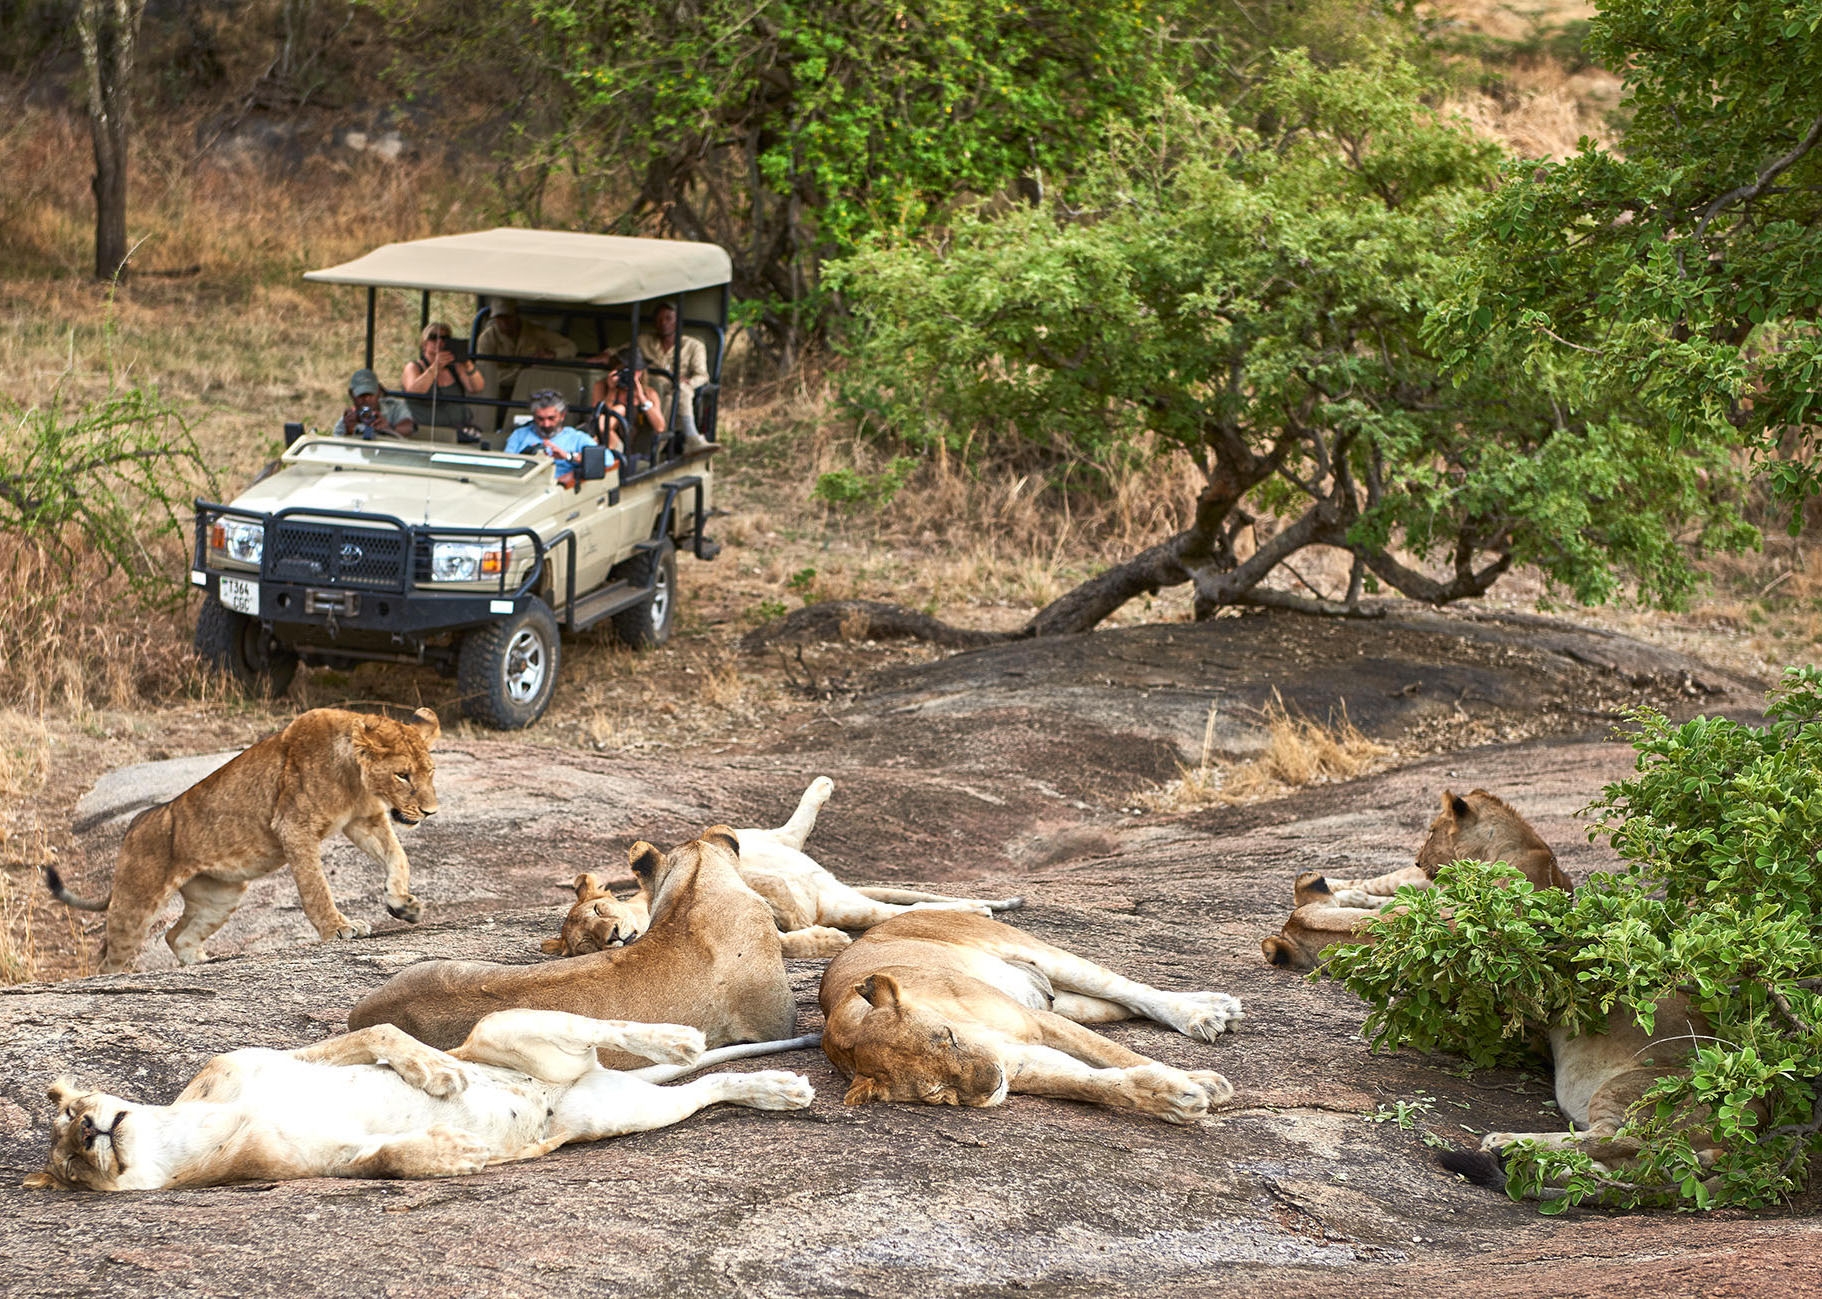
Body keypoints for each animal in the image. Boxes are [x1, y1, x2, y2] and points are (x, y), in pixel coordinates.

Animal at [45, 707, 441, 973]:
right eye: (402, 775)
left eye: (430, 772)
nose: (430, 812)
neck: (356, 779)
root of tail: (136, 825)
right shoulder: (293, 826)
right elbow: (315, 887)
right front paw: (338, 927)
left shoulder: (365, 821)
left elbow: (398, 857)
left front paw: (403, 904)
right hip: (136, 902)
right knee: (110, 958)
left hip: (220, 896)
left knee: (175, 936)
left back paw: (200, 962)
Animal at [539, 777, 1024, 960]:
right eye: (585, 946)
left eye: (599, 910)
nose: (612, 937)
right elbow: (791, 940)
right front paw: (822, 938)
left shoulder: (735, 863)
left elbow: (768, 887)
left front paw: (794, 913)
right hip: (849, 904)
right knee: (895, 912)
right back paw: (977, 910)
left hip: (768, 840)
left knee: (792, 830)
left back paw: (822, 786)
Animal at [821, 912, 1241, 1125]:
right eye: (936, 1093)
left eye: (948, 1036)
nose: (992, 1083)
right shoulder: (1021, 1061)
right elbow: (1094, 1084)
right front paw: (1175, 1098)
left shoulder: (1038, 1023)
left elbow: (1119, 1055)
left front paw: (1201, 1082)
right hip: (1071, 1004)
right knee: (1126, 1005)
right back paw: (1217, 1007)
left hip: (1040, 955)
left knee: (1130, 989)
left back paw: (1204, 1013)